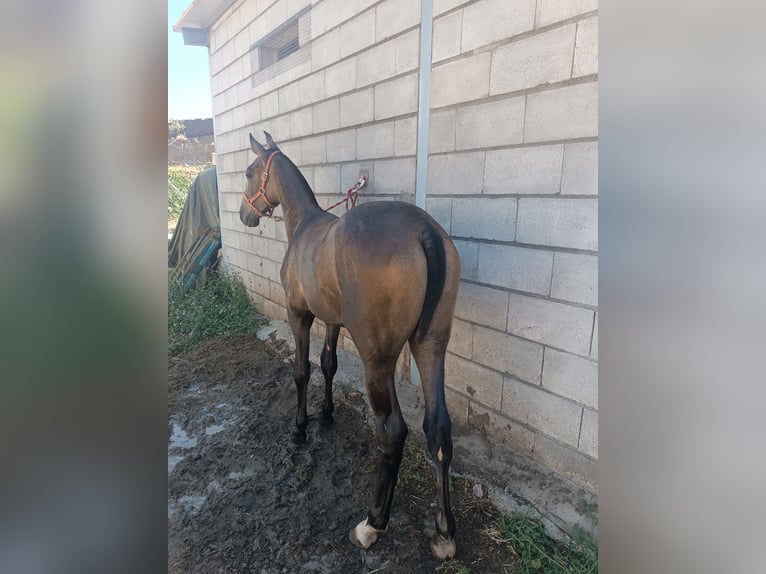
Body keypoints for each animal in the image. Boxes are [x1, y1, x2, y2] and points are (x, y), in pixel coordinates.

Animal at [238, 133, 462, 560]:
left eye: (249, 171)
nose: (245, 215)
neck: (305, 226)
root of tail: (423, 232)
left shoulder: (300, 316)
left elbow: (303, 370)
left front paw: (301, 427)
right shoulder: (332, 321)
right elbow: (329, 364)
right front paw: (326, 413)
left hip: (378, 358)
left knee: (392, 431)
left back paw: (373, 523)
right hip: (431, 347)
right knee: (438, 427)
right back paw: (444, 532)